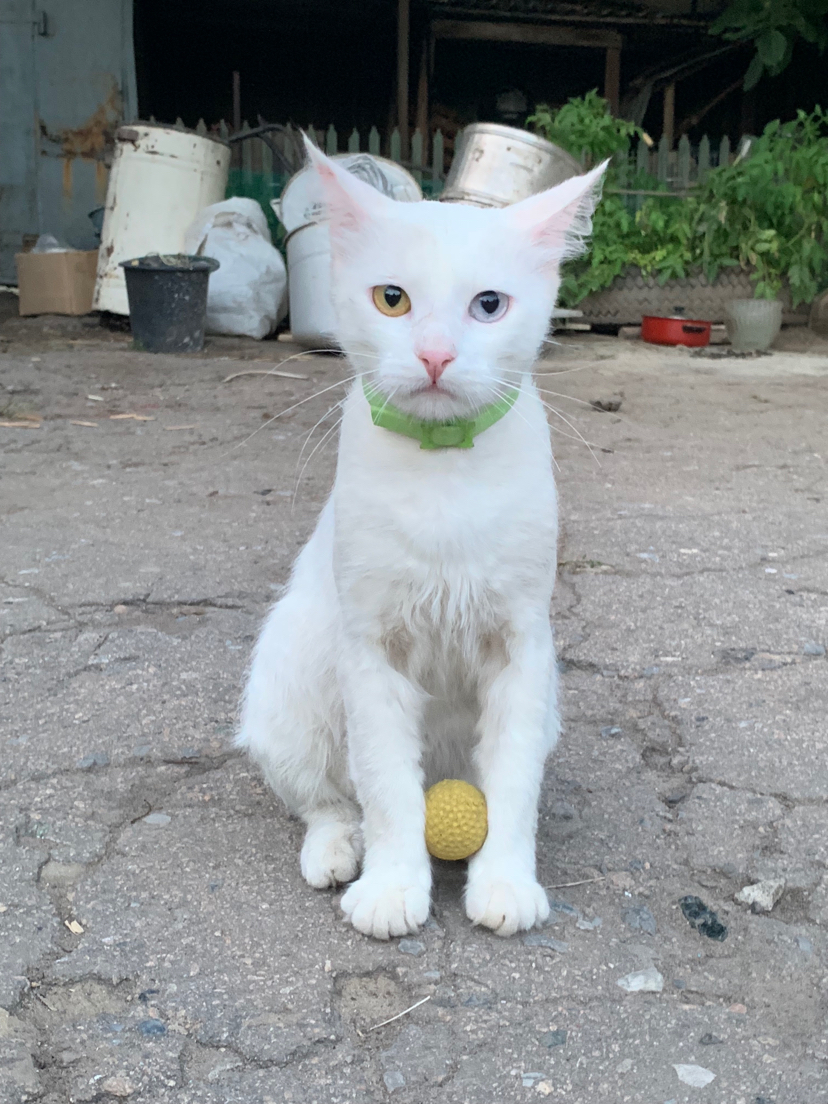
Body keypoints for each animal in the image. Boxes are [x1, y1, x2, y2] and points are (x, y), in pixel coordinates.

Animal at [236, 142, 604, 940]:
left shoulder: (524, 647)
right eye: (392, 300)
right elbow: (384, 783)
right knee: (325, 796)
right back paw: (338, 848)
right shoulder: (371, 647)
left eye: (489, 305)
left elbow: (514, 782)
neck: (444, 475)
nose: (435, 355)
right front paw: (392, 885)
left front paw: (505, 881)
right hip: (290, 680)